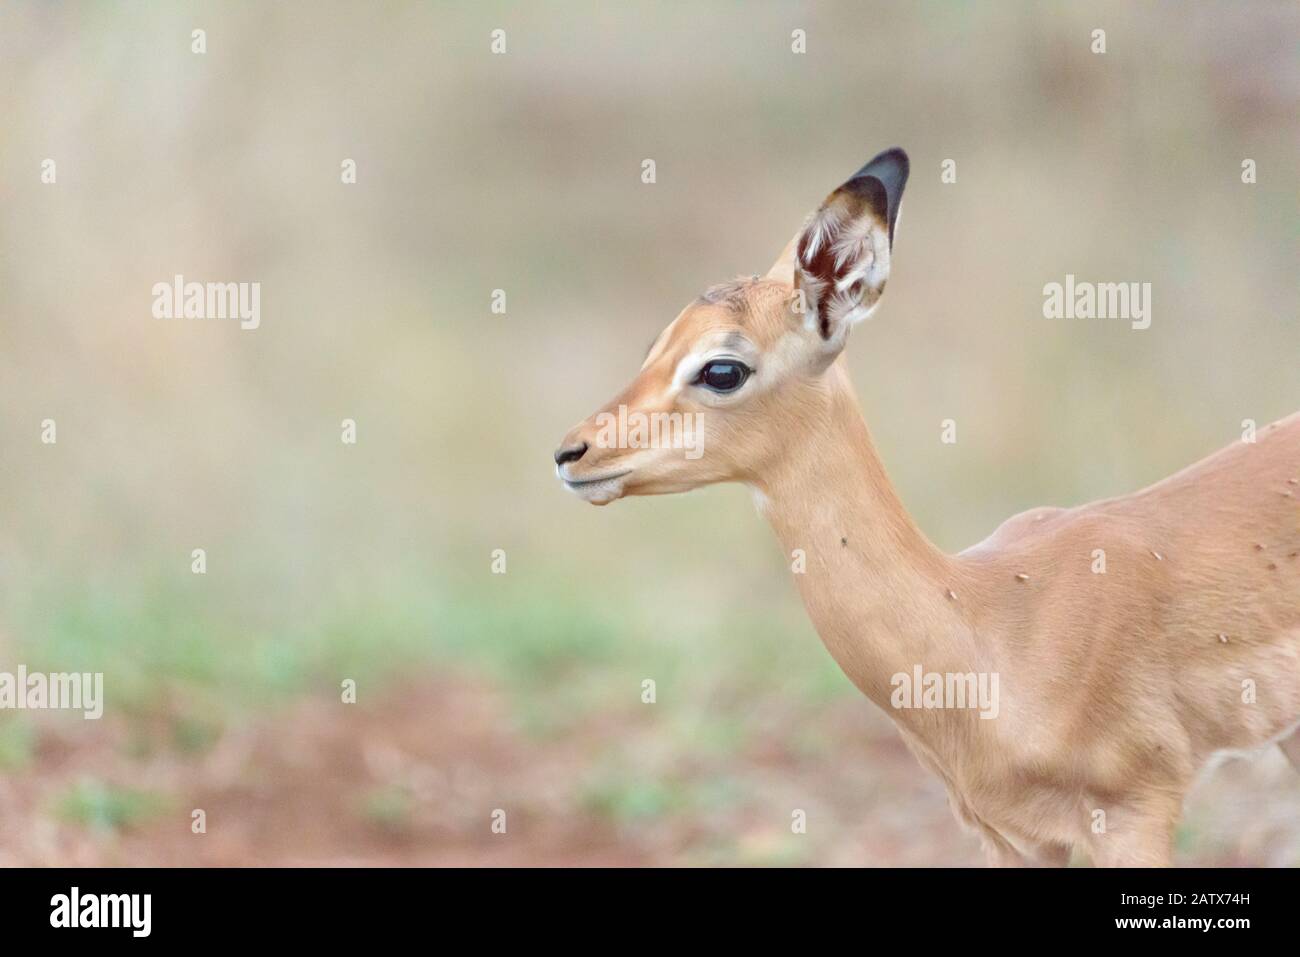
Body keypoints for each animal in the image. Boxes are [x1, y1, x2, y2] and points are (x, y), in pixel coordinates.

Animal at [554, 148, 1300, 866]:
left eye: (721, 369)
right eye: (657, 345)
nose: (571, 453)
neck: (987, 623)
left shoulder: (1133, 817)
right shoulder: (1009, 838)